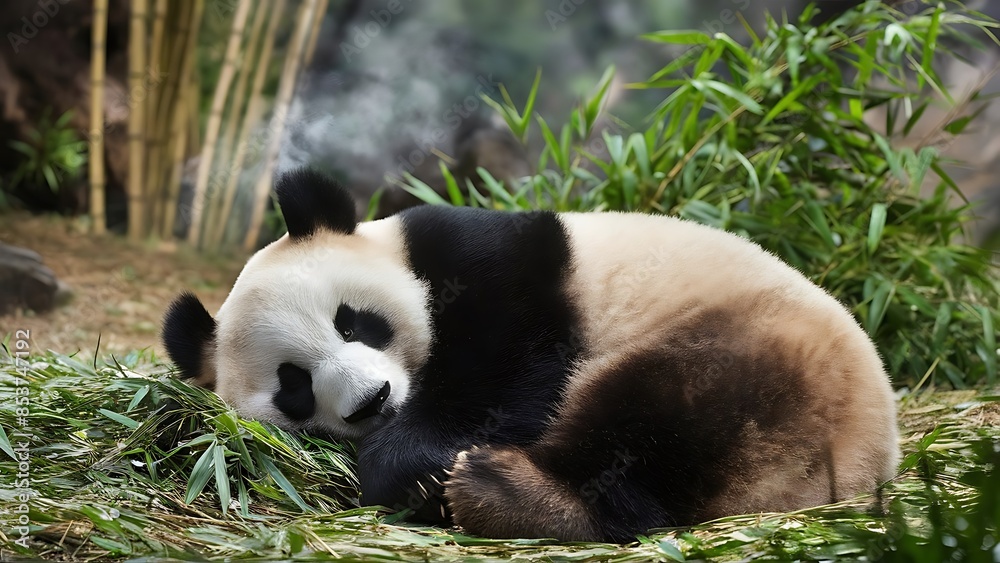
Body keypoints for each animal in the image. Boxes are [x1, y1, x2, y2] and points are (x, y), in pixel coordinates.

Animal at [162, 168, 899, 543]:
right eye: (294, 385)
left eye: (355, 322)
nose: (373, 402)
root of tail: (865, 462)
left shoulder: (492, 269)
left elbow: (506, 370)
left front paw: (418, 467)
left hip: (762, 348)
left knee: (663, 411)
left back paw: (513, 494)